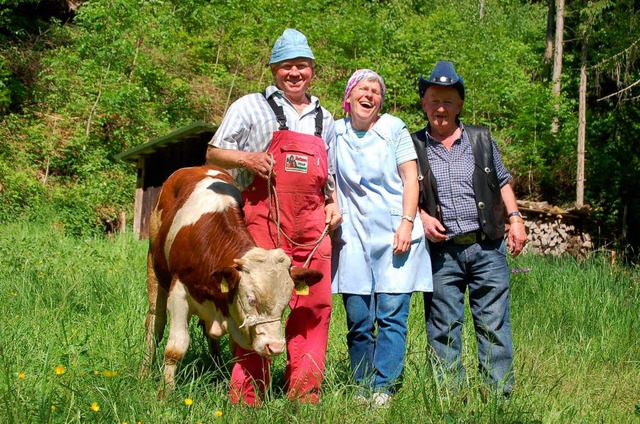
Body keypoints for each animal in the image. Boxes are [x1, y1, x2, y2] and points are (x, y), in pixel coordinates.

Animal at [139, 164, 320, 392]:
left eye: (287, 302)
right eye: (251, 299)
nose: (276, 347)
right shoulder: (178, 292)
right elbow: (175, 349)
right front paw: (165, 393)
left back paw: (216, 369)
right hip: (153, 267)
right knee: (155, 323)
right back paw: (145, 371)